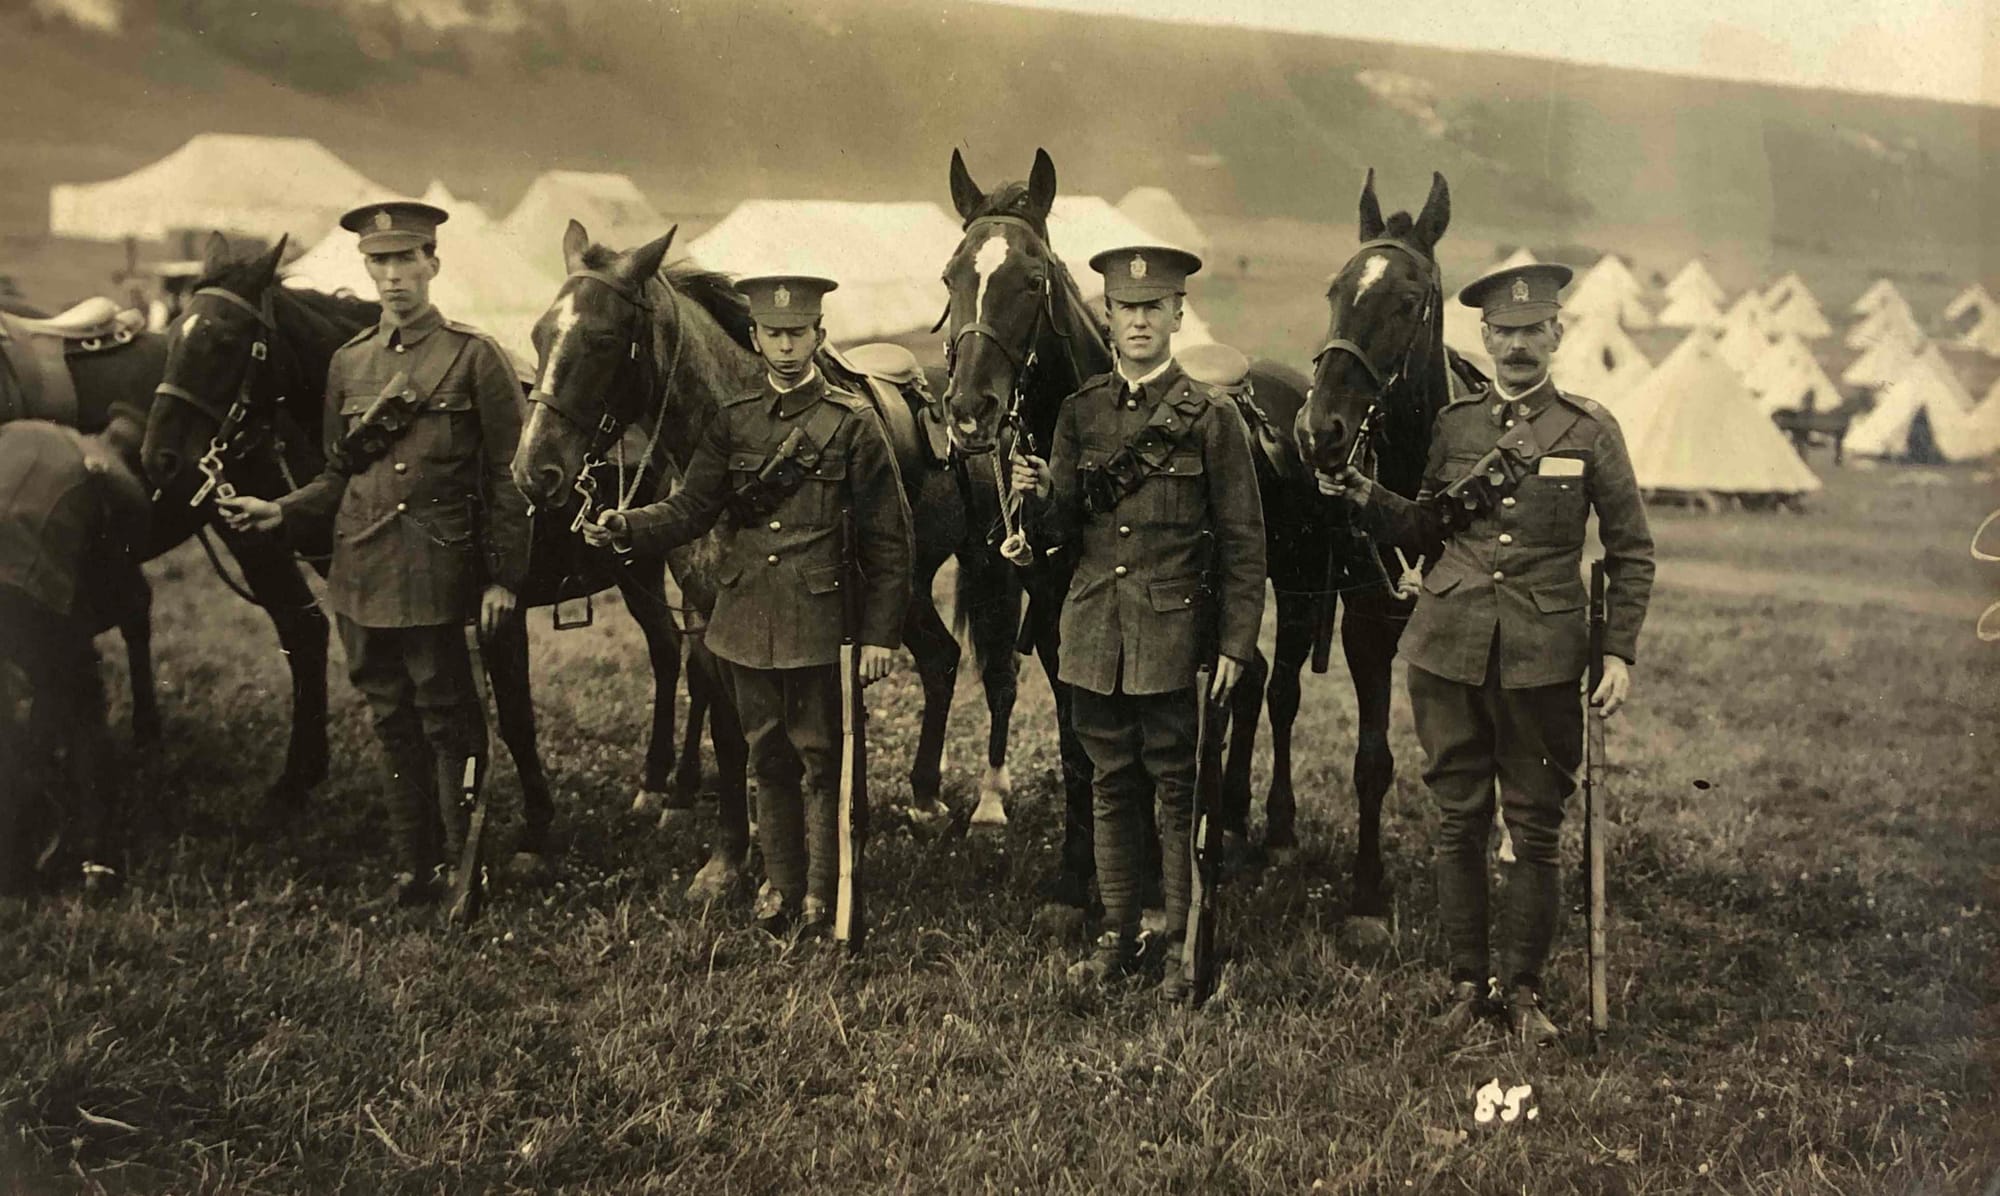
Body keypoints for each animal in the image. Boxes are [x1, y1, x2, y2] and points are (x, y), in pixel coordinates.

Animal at [940, 152, 1280, 920]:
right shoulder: (1058, 617)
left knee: (1251, 683)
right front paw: (1077, 873)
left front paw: (1149, 874)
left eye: (1030, 279)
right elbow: (1076, 735)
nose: (969, 410)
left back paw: (1239, 827)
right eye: (952, 277)